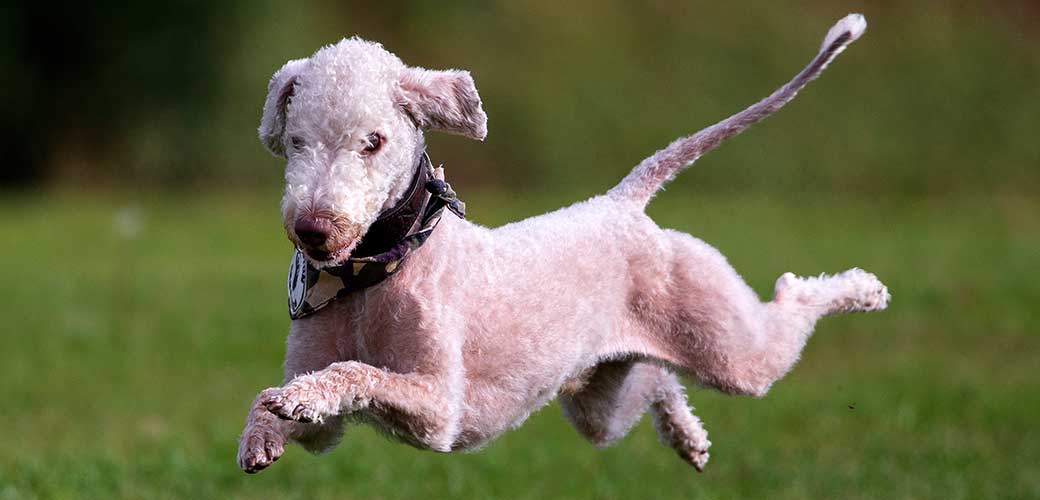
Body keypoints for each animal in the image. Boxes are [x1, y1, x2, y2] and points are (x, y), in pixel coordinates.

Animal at [236, 12, 886, 471]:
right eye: (295, 141)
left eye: (373, 141)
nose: (313, 230)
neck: (376, 267)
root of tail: (621, 204)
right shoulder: (327, 432)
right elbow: (291, 403)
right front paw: (264, 429)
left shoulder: (438, 407)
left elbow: (355, 373)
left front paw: (304, 394)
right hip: (599, 392)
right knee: (654, 384)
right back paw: (688, 438)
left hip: (726, 342)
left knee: (787, 306)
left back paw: (865, 290)